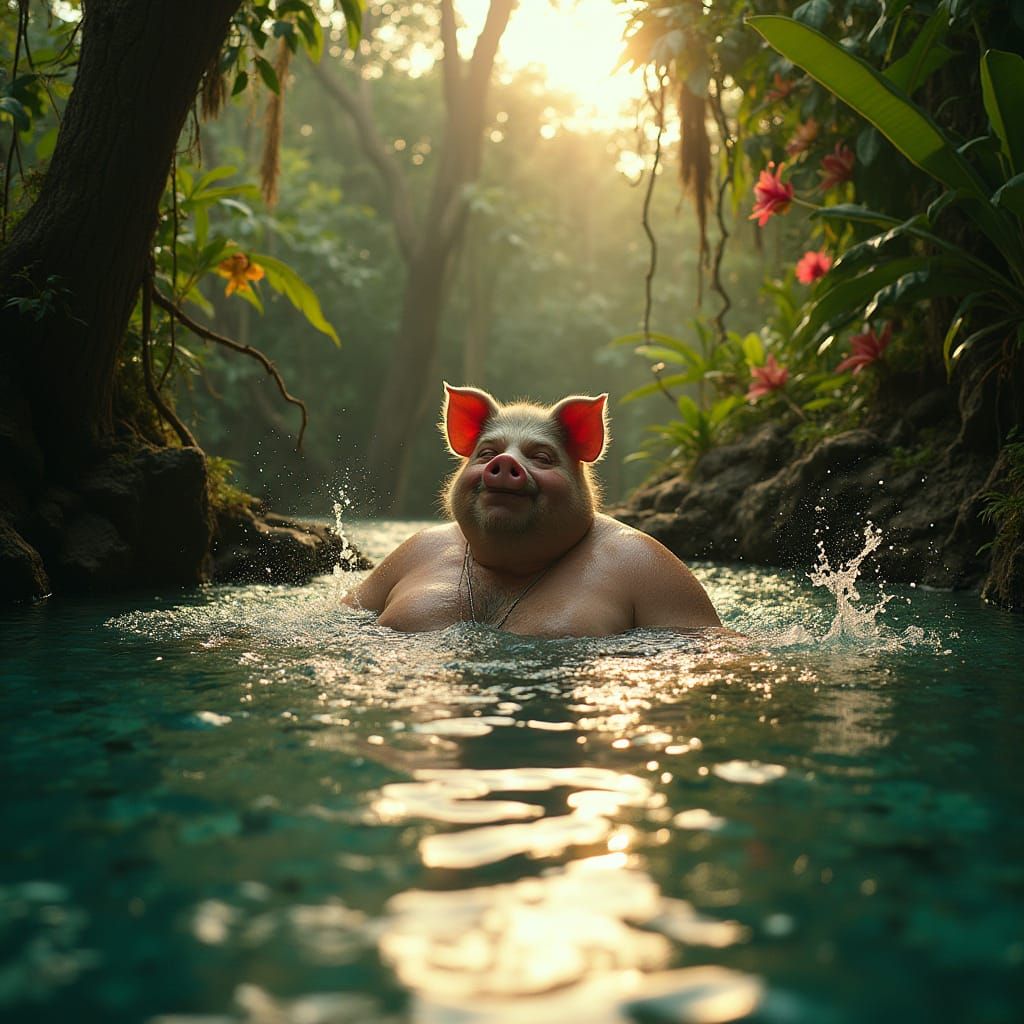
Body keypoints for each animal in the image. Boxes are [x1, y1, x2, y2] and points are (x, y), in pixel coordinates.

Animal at [342, 383, 721, 636]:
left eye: (541, 457)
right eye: (487, 452)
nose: (504, 462)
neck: (511, 570)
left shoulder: (662, 573)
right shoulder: (404, 552)